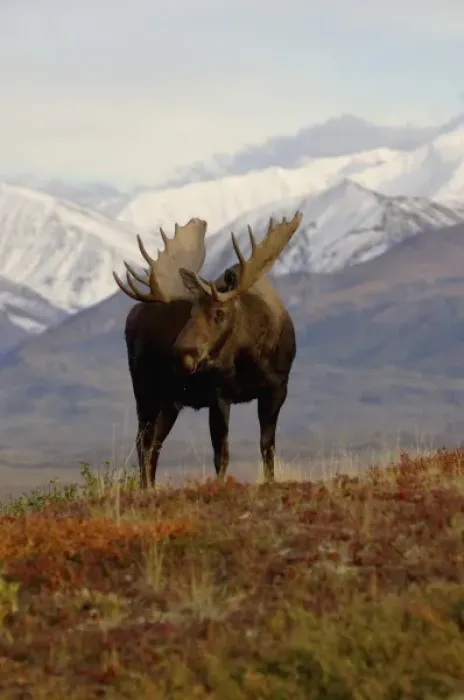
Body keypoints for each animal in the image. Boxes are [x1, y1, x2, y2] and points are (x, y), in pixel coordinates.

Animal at [113, 211, 303, 488]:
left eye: (219, 313)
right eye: (191, 311)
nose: (182, 352)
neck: (251, 359)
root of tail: (132, 315)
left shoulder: (278, 387)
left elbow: (267, 448)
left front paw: (270, 483)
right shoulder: (219, 394)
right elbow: (221, 454)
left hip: (171, 402)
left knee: (155, 443)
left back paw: (152, 488)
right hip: (145, 391)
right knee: (143, 443)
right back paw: (145, 489)